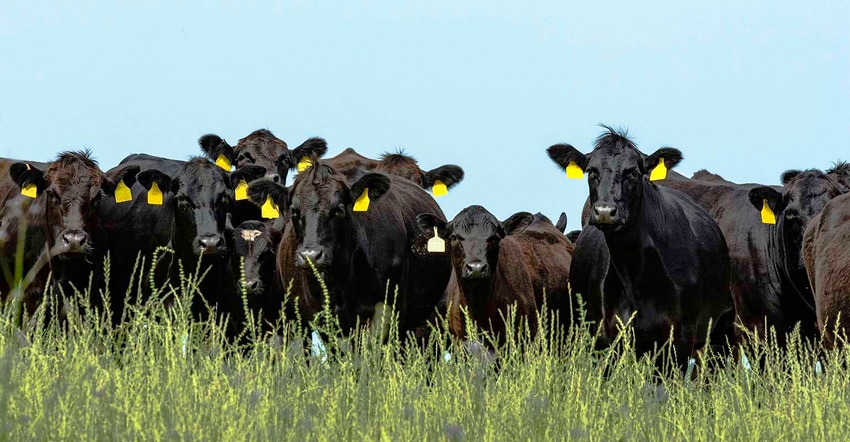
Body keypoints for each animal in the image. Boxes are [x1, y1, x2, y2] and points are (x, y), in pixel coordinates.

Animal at [548, 127, 732, 362]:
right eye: (591, 171)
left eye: (633, 172)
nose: (605, 211)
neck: (635, 273)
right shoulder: (607, 338)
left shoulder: (680, 341)